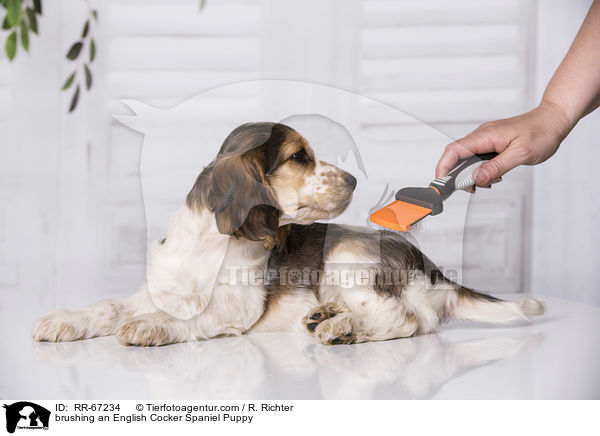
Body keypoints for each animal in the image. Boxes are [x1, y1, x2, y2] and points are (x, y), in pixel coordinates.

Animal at [32, 121, 548, 346]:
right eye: (300, 156)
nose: (354, 180)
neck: (209, 245)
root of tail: (432, 268)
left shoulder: (236, 306)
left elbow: (189, 316)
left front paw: (150, 327)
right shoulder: (156, 289)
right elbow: (109, 306)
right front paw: (62, 320)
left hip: (346, 257)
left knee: (407, 320)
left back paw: (341, 329)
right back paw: (327, 317)